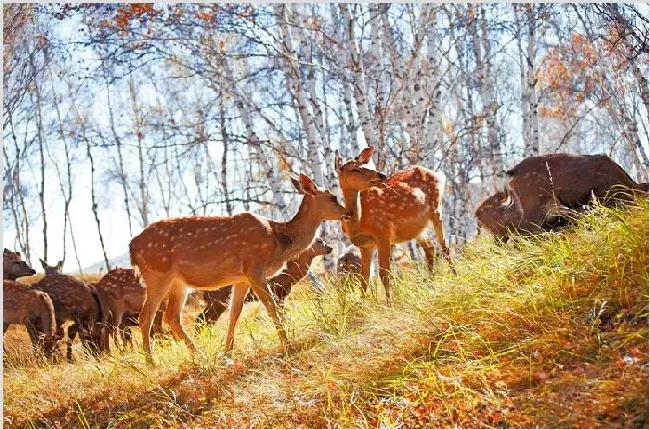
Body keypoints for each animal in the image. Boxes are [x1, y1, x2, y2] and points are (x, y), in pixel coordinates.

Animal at [195, 235, 332, 326]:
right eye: (318, 241)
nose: (330, 248)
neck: (288, 273)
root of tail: (203, 291)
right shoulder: (276, 291)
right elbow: (281, 313)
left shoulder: (282, 295)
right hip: (218, 301)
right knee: (201, 319)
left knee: (205, 320)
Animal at [334, 146, 450, 304]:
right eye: (354, 169)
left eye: (365, 165)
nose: (382, 175)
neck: (358, 224)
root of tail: (438, 174)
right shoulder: (366, 245)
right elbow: (364, 278)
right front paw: (363, 305)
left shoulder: (383, 233)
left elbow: (384, 274)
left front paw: (389, 305)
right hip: (418, 228)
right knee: (430, 247)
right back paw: (431, 286)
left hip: (437, 209)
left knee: (445, 247)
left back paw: (455, 277)